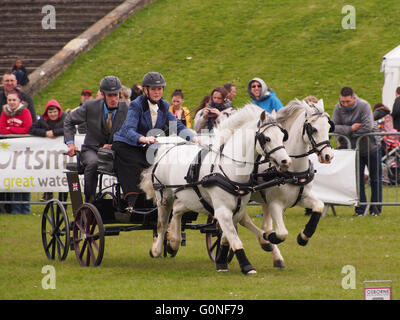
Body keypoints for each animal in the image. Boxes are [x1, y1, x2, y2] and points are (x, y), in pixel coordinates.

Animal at [141, 105, 290, 276]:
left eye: (283, 136)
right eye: (267, 138)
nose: (286, 161)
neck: (228, 168)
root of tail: (168, 147)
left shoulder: (236, 210)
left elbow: (226, 236)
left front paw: (221, 260)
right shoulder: (223, 210)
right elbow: (235, 239)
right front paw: (246, 266)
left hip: (191, 198)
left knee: (178, 210)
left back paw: (174, 243)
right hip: (164, 197)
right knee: (162, 224)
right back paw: (157, 249)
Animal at [238, 99, 334, 268]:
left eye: (329, 127)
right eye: (314, 129)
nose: (328, 156)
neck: (293, 170)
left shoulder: (301, 197)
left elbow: (319, 206)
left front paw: (303, 236)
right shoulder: (275, 204)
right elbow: (281, 233)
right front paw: (269, 237)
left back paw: (277, 257)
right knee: (242, 220)